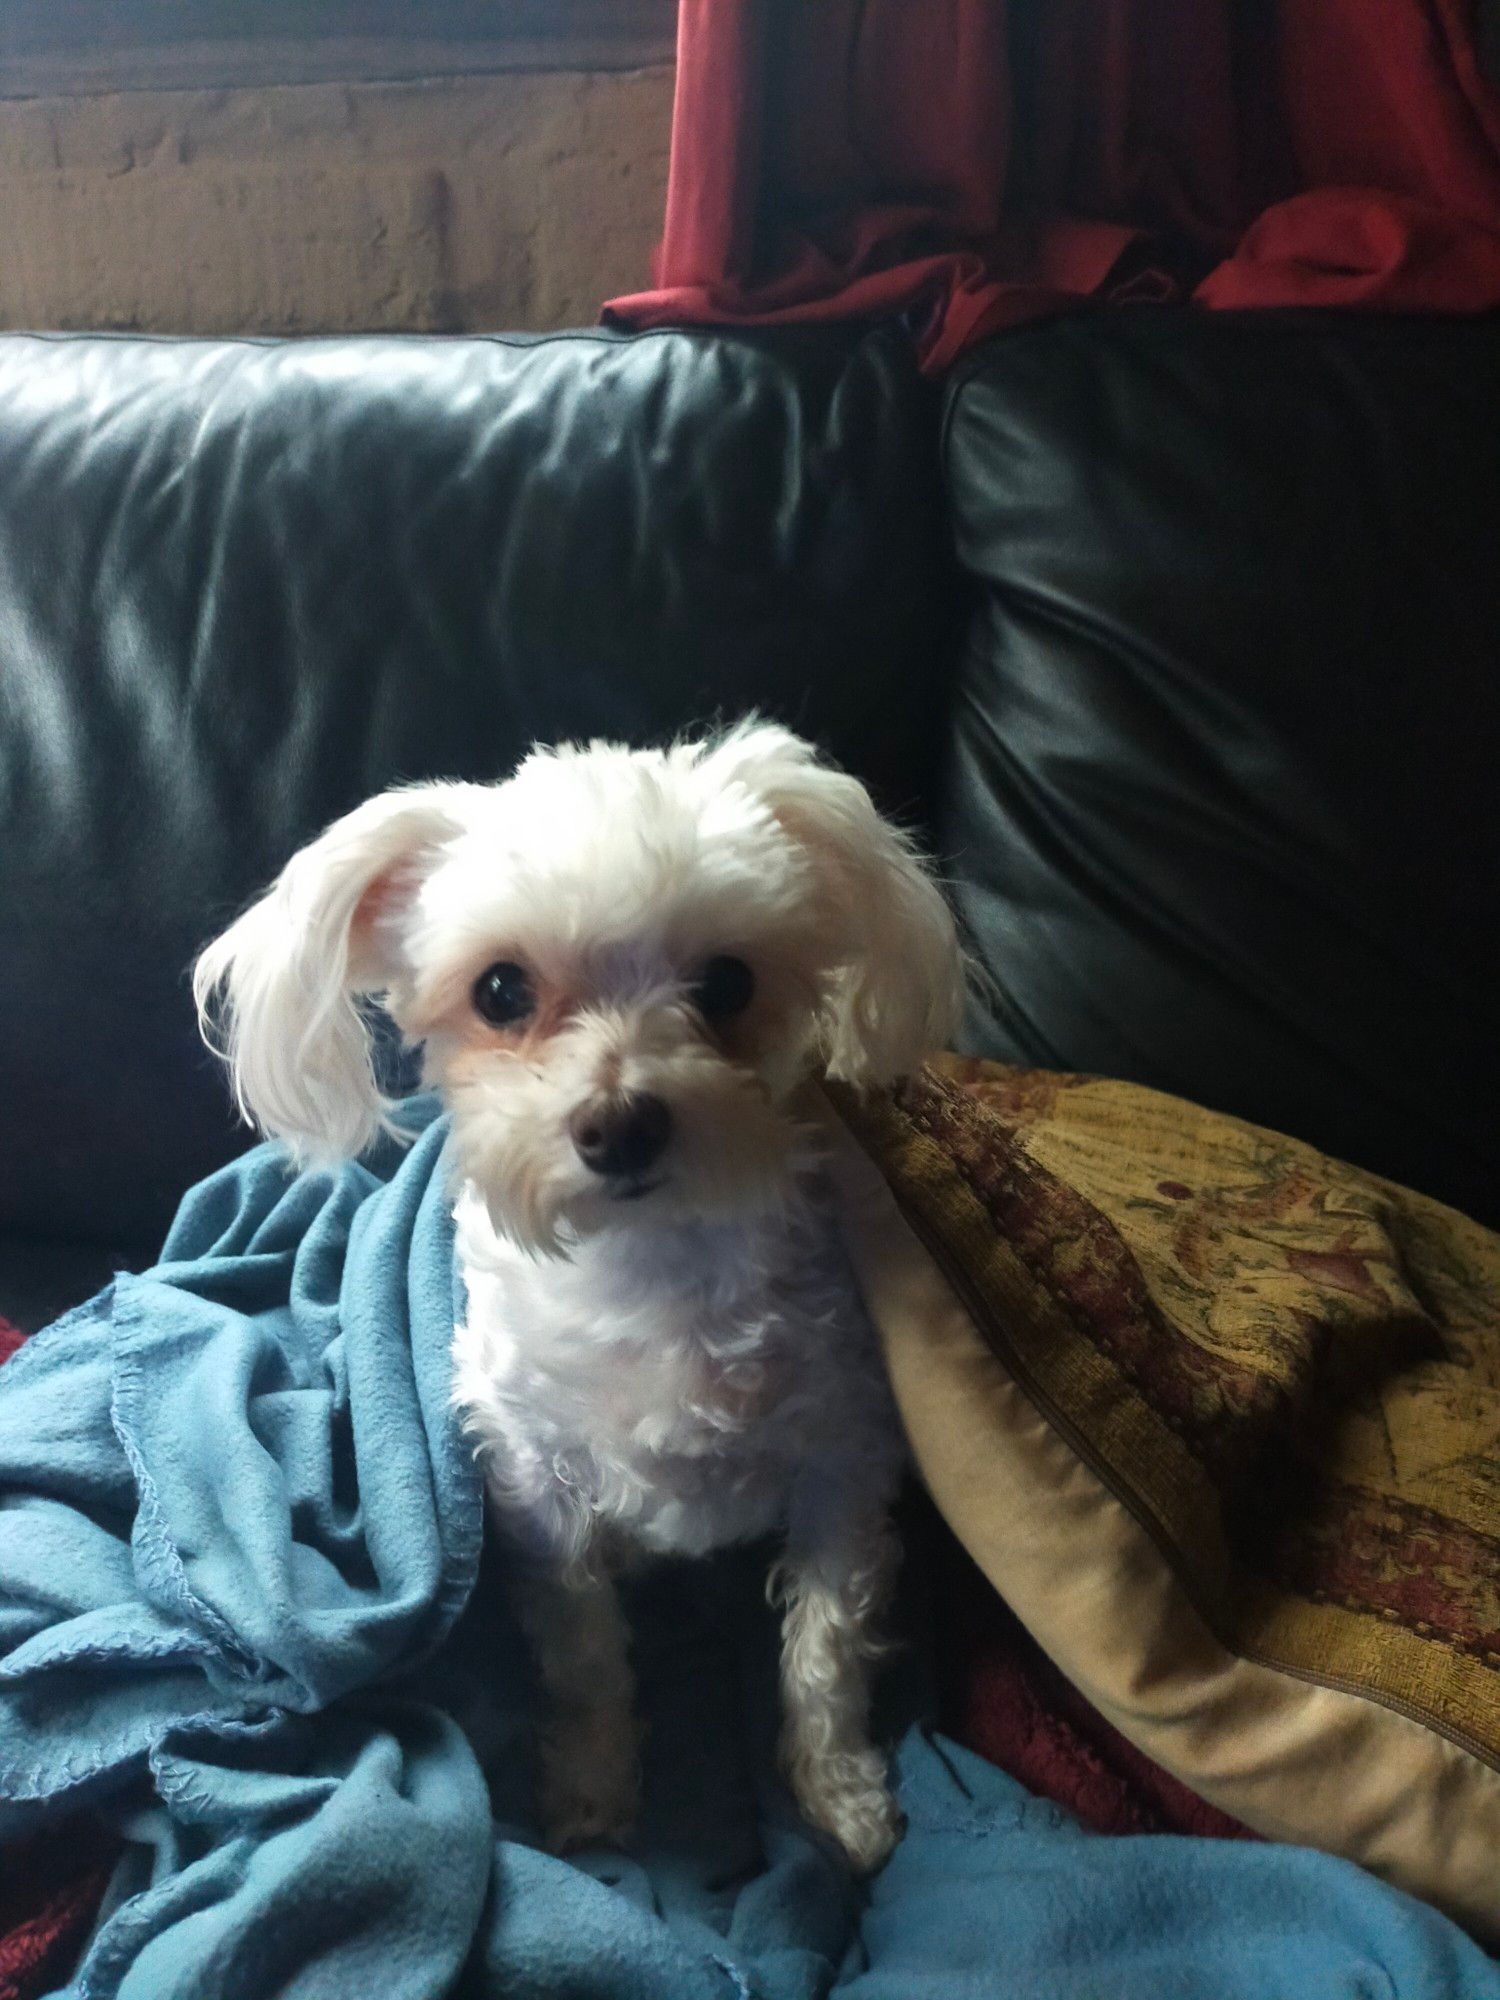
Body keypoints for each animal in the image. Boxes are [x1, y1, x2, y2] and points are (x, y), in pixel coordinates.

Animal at [197, 724, 964, 1872]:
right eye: (501, 991)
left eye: (727, 982)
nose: (621, 1125)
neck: (651, 1274)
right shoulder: (540, 1489)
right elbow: (587, 1658)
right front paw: (595, 1797)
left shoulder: (843, 1460)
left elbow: (825, 1650)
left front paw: (840, 1796)